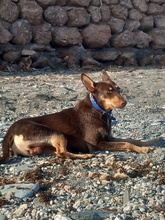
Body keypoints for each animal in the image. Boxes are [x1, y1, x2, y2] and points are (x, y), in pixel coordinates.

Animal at [0, 71, 153, 162]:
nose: (124, 102)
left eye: (119, 89)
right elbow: (126, 143)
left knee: (60, 153)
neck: (98, 110)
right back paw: (86, 155)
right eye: (109, 92)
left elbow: (131, 140)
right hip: (55, 133)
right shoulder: (97, 143)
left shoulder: (109, 138)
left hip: (43, 147)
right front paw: (142, 149)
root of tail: (10, 131)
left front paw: (147, 143)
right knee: (63, 152)